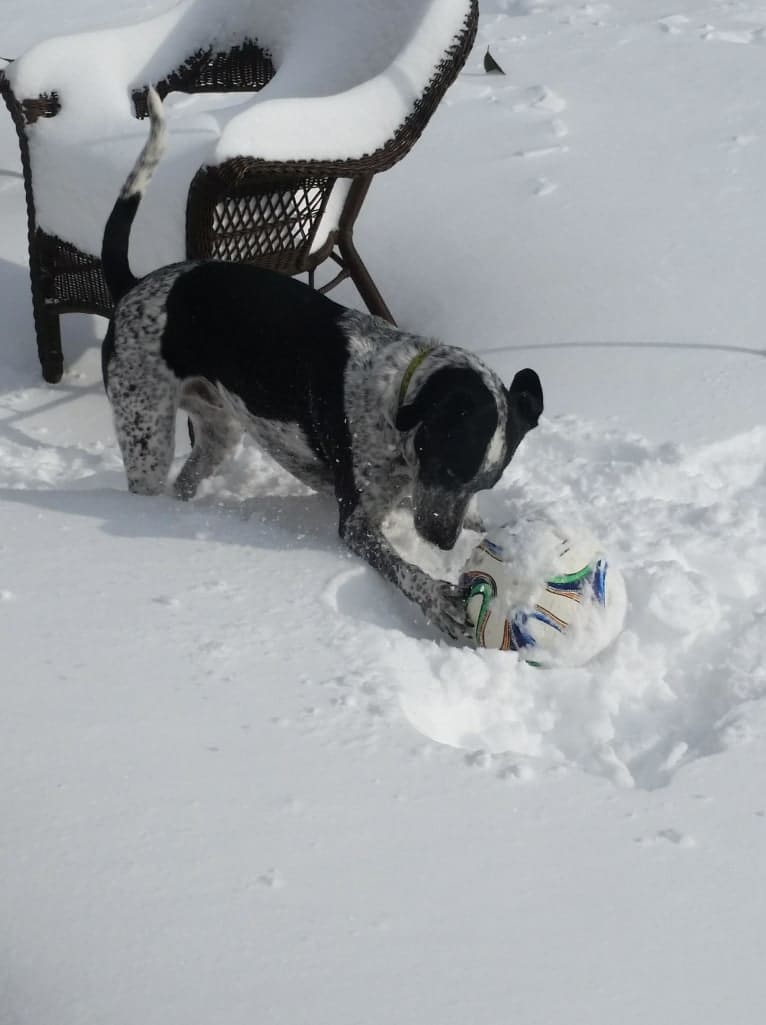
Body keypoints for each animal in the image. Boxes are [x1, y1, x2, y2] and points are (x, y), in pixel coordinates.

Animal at [102, 88, 545, 635]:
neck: (396, 398)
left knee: (187, 478)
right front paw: (438, 600)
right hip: (145, 431)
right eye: (444, 465)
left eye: (488, 483)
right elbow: (405, 570)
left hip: (217, 432)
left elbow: (483, 523)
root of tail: (133, 286)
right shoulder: (357, 522)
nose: (441, 540)